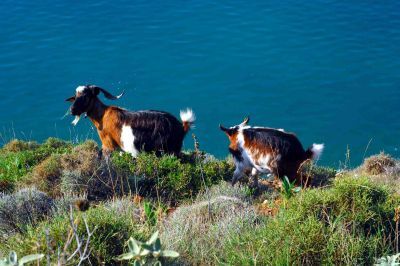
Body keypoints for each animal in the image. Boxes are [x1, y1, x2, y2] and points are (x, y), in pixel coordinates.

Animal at [65, 84, 195, 157]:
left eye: (86, 96)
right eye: (75, 96)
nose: (72, 110)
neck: (102, 116)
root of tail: (181, 127)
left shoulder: (108, 145)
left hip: (167, 150)